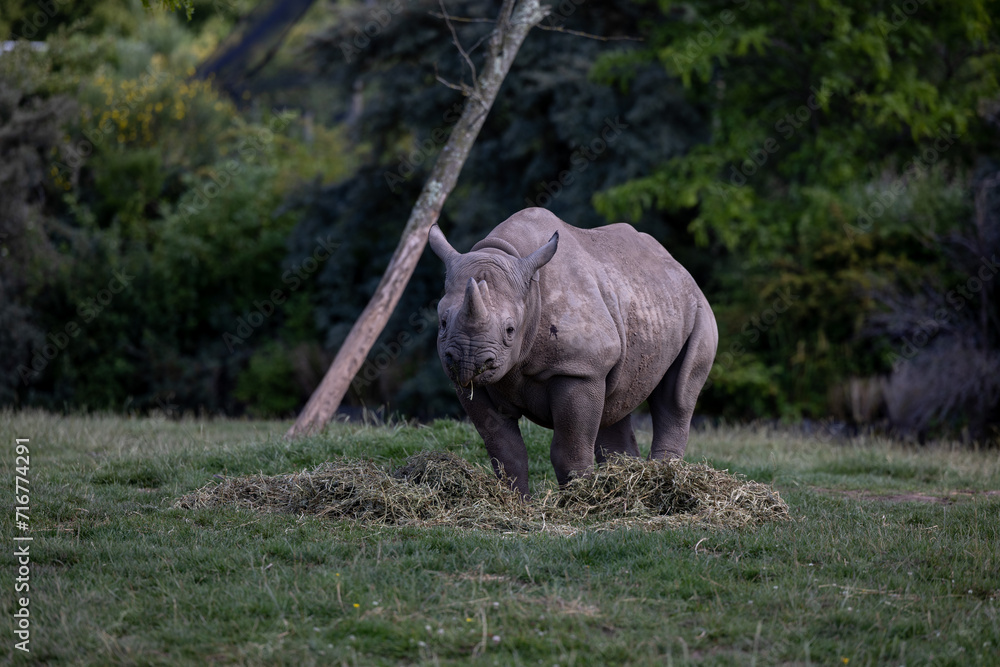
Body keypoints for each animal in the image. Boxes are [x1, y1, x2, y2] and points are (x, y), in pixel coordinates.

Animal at [428, 207, 718, 496]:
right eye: (442, 322)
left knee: (676, 396)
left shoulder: (580, 369)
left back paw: (665, 478)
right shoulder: (468, 385)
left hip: (699, 310)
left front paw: (579, 498)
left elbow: (569, 450)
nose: (468, 361)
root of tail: (678, 266)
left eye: (510, 330)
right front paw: (515, 501)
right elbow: (505, 450)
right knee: (615, 401)